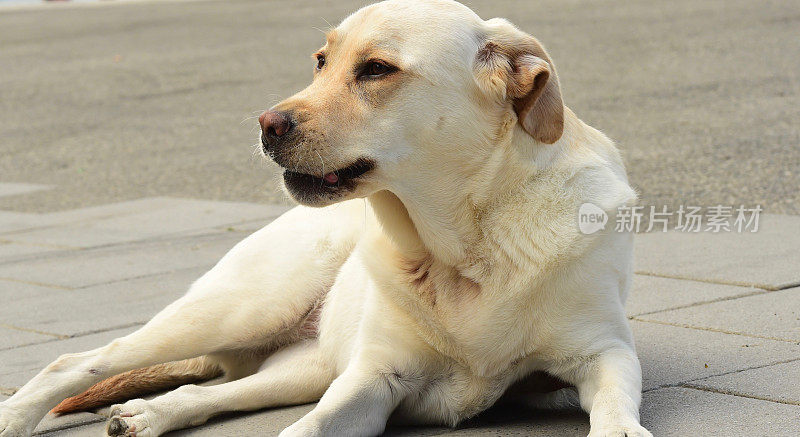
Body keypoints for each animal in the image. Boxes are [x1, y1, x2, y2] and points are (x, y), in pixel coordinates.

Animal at [0, 0, 648, 436]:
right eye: (320, 61)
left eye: (377, 69)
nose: (266, 125)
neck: (465, 245)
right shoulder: (371, 377)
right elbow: (307, 428)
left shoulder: (606, 353)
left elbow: (616, 412)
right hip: (242, 307)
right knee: (78, 360)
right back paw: (19, 415)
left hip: (302, 366)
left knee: (220, 390)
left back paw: (152, 412)